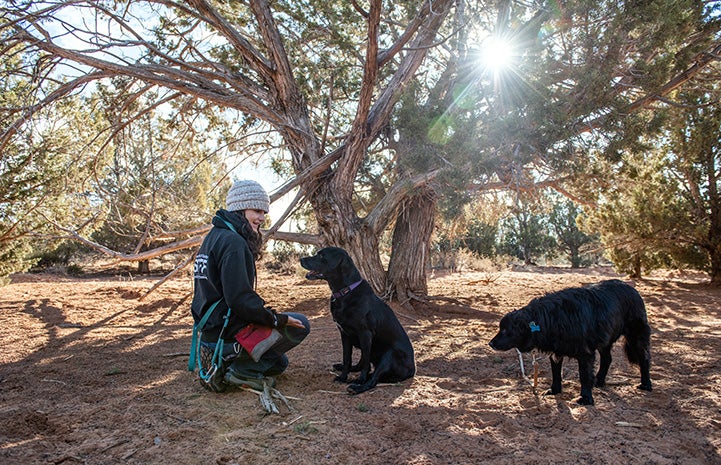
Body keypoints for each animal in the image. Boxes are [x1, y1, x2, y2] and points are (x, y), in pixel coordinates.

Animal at [296, 245, 414, 394]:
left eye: (322, 256)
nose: (301, 259)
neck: (345, 292)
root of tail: (412, 371)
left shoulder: (365, 333)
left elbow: (365, 366)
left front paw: (359, 380)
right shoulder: (344, 333)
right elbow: (347, 358)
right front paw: (343, 377)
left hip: (390, 354)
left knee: (373, 378)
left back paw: (358, 387)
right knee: (363, 365)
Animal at [490, 278, 652, 404]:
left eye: (505, 330)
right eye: (500, 328)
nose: (490, 343)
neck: (550, 318)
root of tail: (633, 290)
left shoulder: (586, 353)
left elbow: (584, 376)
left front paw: (586, 398)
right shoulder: (556, 352)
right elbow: (556, 373)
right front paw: (554, 390)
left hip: (636, 335)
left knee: (644, 358)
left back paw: (646, 384)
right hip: (605, 340)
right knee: (607, 359)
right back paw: (599, 381)